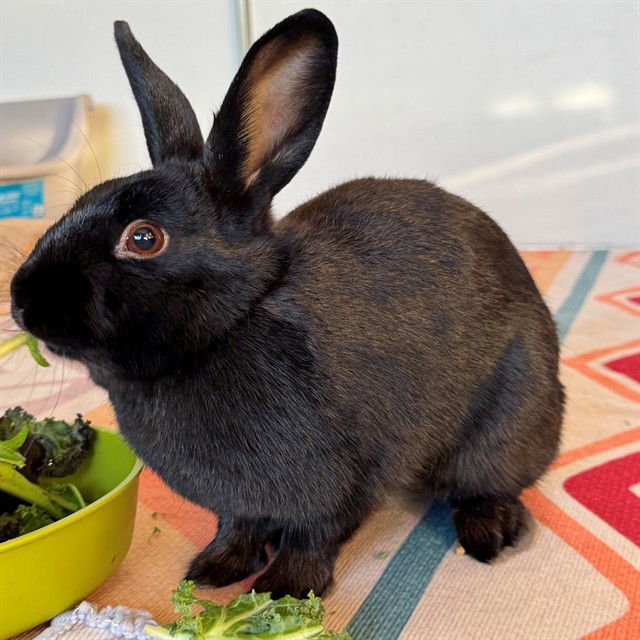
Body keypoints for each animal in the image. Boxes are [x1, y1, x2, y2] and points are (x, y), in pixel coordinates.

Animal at [10, 9, 563, 598]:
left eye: (143, 239)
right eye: (78, 203)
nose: (21, 300)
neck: (231, 327)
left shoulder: (344, 484)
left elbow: (313, 537)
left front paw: (284, 588)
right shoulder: (241, 503)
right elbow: (238, 526)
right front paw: (215, 570)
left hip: (504, 421)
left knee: (490, 482)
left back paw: (488, 534)